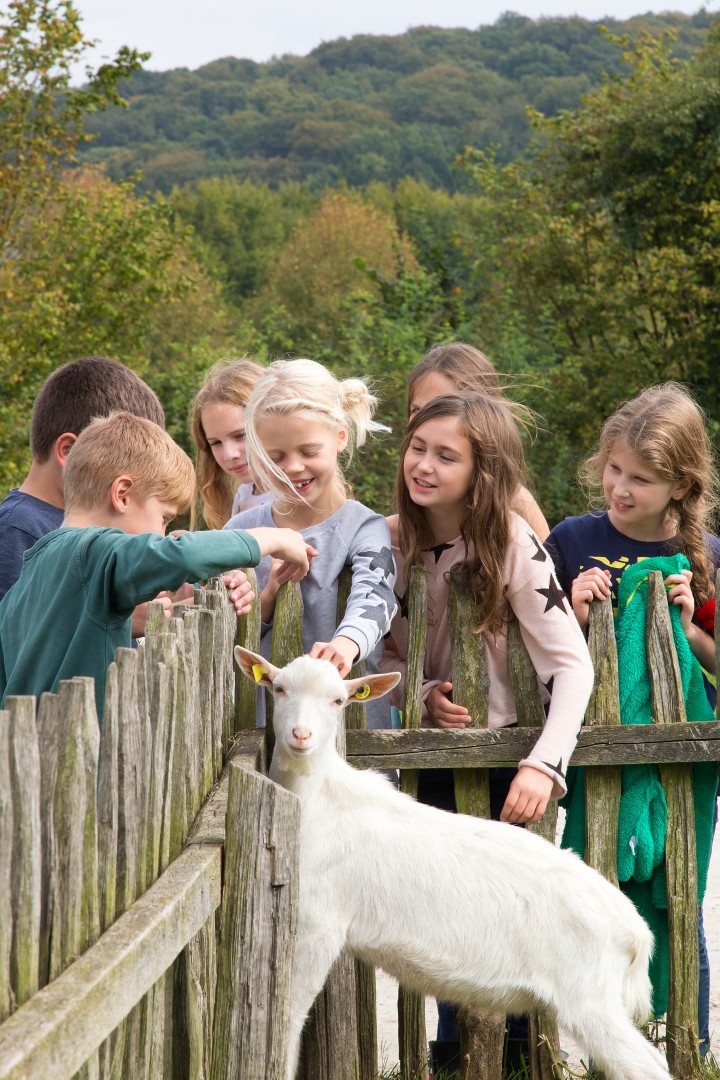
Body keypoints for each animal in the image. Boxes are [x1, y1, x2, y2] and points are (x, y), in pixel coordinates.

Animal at [235, 643, 669, 1080]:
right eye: (278, 688)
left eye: (338, 700)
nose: (300, 735)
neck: (318, 800)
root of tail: (638, 934)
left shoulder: (319, 923)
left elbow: (288, 1021)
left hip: (589, 997)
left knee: (648, 1065)